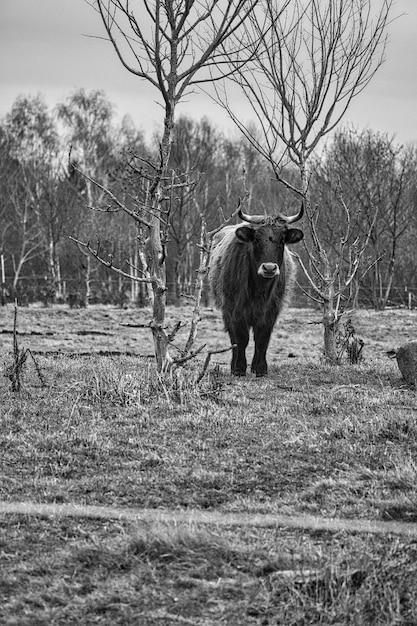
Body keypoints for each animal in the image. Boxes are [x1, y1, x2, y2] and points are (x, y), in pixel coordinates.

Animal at [207, 204, 302, 376]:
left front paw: (260, 368)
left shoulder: (271, 311)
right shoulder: (235, 310)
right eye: (256, 239)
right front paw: (239, 368)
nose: (269, 268)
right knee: (233, 339)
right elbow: (241, 339)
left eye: (282, 240)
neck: (259, 290)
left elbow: (262, 339)